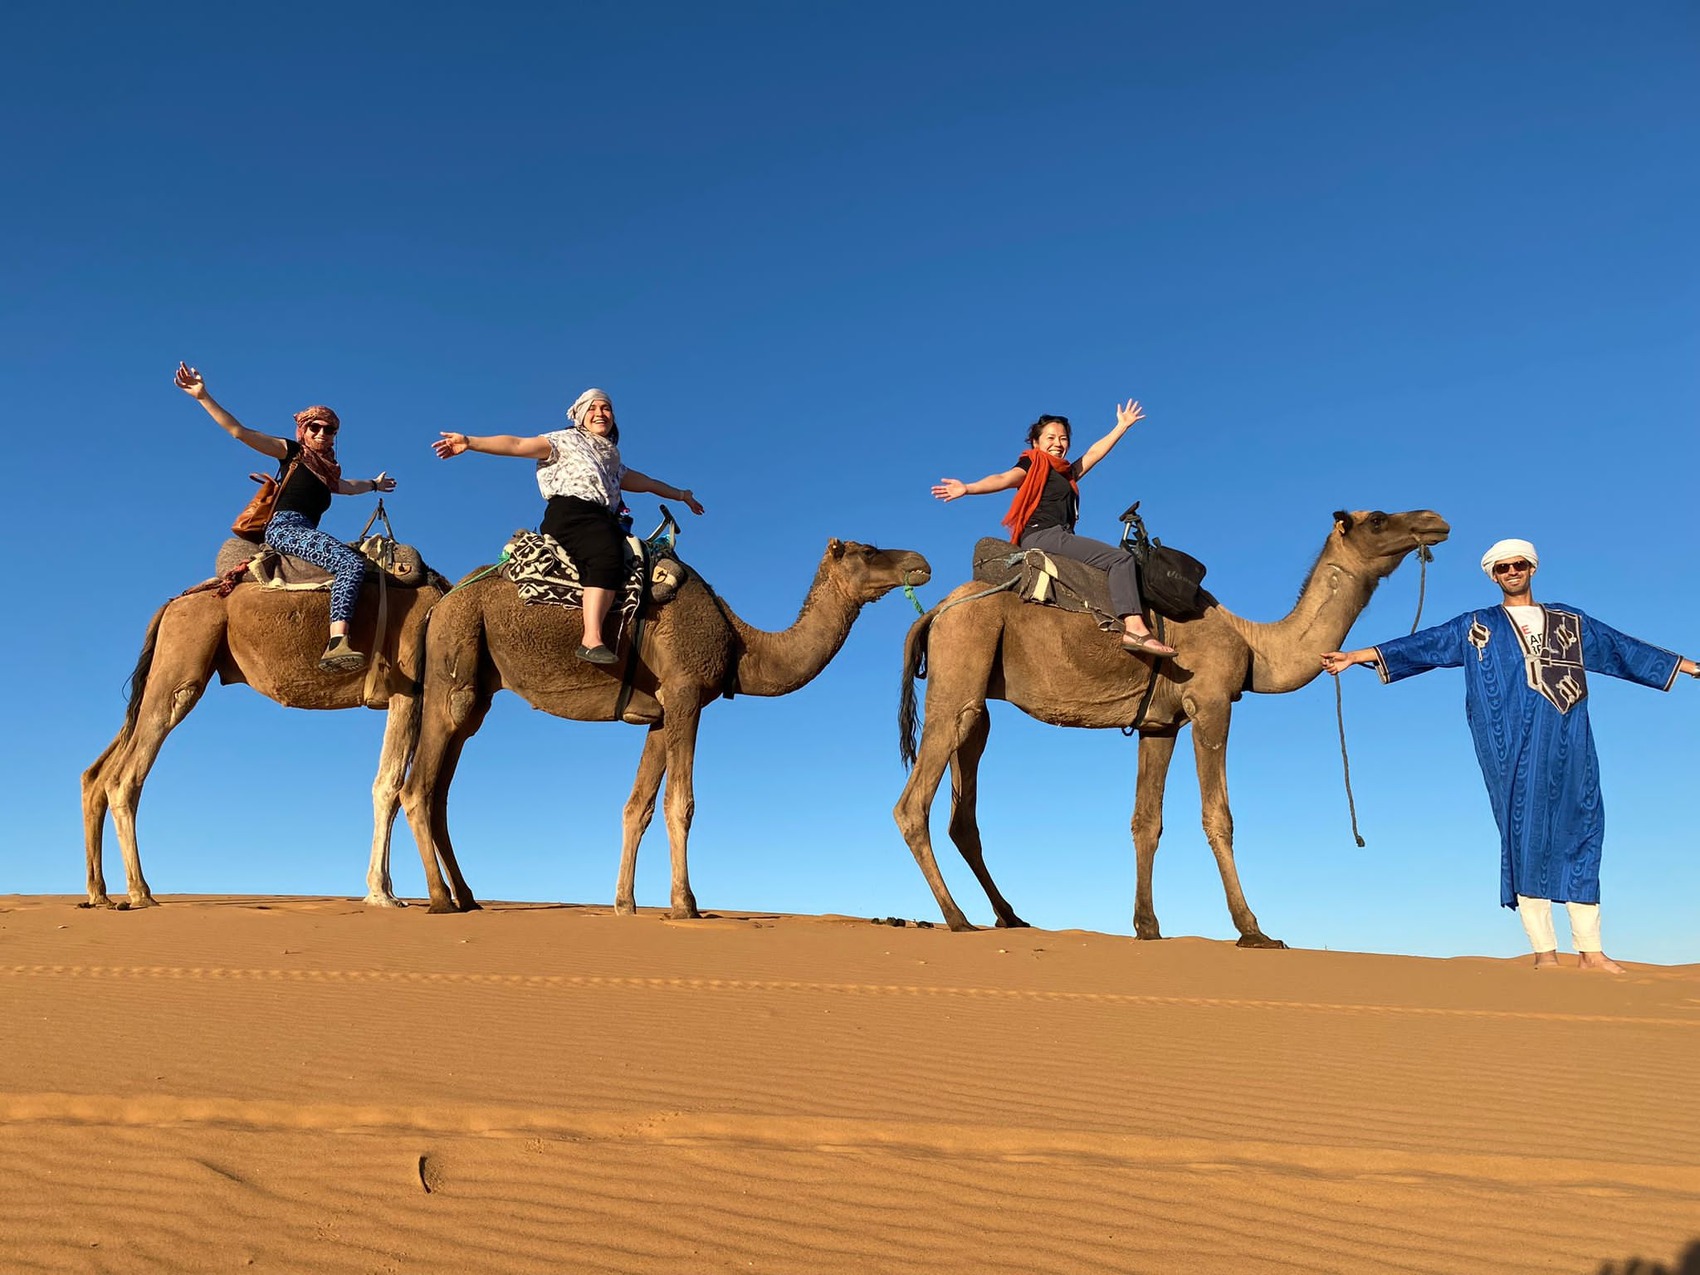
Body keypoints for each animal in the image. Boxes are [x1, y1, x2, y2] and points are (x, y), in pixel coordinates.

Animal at [81, 572, 447, 909]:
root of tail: (169, 607)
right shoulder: (407, 687)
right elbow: (389, 786)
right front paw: (382, 894)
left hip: (161, 675)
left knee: (96, 773)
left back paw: (100, 895)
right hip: (181, 663)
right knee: (124, 775)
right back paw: (140, 892)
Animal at [400, 538, 932, 915]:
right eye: (868, 550)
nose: (921, 561)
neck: (742, 644)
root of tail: (439, 605)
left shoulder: (658, 716)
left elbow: (637, 807)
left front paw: (624, 904)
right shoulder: (685, 694)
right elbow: (682, 802)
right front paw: (685, 904)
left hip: (477, 689)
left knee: (440, 790)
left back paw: (467, 895)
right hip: (455, 663)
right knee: (417, 786)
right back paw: (440, 899)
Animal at [894, 508, 1450, 943]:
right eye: (1377, 519)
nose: (1435, 520)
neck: (1254, 645)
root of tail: (937, 610)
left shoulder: (1160, 724)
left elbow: (1147, 822)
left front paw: (1147, 927)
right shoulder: (1210, 703)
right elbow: (1218, 816)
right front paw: (1254, 930)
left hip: (976, 697)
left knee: (963, 807)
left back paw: (1010, 917)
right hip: (963, 658)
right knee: (912, 804)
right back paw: (956, 918)